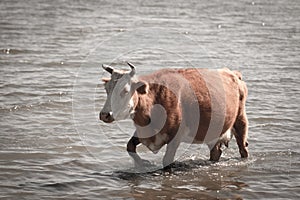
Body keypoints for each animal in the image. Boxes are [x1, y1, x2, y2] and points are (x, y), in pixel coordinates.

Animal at [99, 62, 248, 169]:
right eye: (107, 89)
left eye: (125, 91)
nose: (105, 114)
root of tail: (232, 73)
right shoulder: (144, 132)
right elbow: (129, 146)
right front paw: (143, 163)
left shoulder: (175, 137)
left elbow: (167, 161)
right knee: (216, 151)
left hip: (240, 121)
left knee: (243, 148)